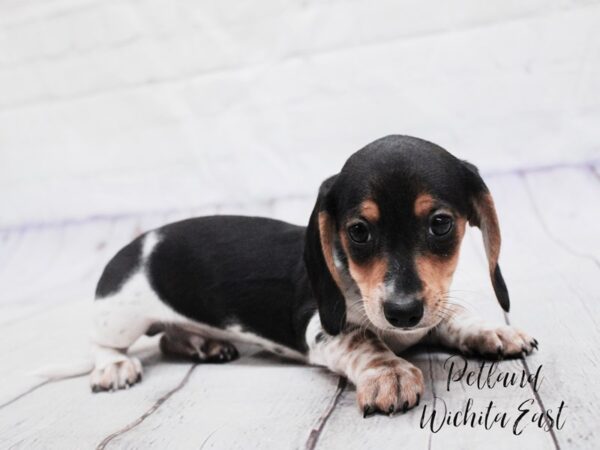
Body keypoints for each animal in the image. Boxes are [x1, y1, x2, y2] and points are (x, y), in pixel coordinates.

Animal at [88, 135, 536, 416]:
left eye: (441, 223)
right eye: (359, 231)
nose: (403, 312)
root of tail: (137, 243)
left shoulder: (433, 308)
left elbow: (454, 315)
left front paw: (493, 331)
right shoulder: (319, 328)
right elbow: (363, 340)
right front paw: (388, 372)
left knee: (169, 338)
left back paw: (205, 345)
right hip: (120, 317)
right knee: (103, 343)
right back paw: (115, 367)